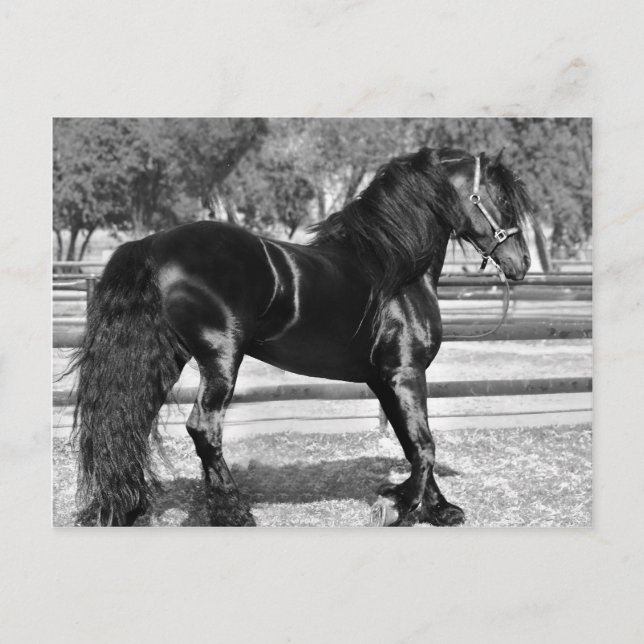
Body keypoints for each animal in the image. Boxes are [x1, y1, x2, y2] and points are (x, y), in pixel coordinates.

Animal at [69, 146, 532, 527]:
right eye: (503, 199)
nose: (522, 263)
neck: (395, 270)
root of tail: (153, 243)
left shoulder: (384, 380)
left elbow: (411, 442)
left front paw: (437, 508)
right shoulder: (405, 373)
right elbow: (424, 444)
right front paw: (402, 508)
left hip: (165, 360)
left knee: (131, 422)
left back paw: (129, 508)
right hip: (220, 360)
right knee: (204, 429)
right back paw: (233, 512)